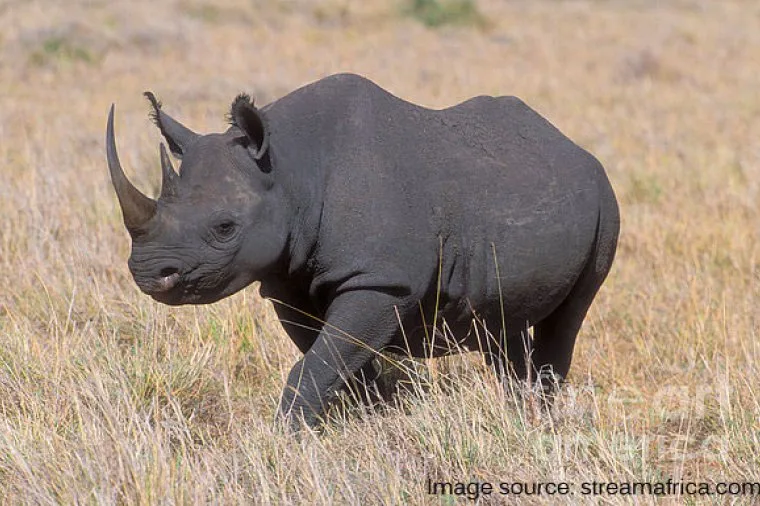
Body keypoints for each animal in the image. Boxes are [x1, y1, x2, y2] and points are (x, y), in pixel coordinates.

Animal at [106, 73, 619, 429]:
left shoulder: (381, 281)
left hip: (605, 203)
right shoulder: (287, 282)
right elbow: (336, 364)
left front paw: (286, 441)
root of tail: (574, 147)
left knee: (568, 319)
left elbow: (319, 365)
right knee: (501, 322)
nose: (149, 274)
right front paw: (370, 421)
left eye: (225, 227)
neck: (290, 169)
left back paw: (539, 417)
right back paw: (517, 411)